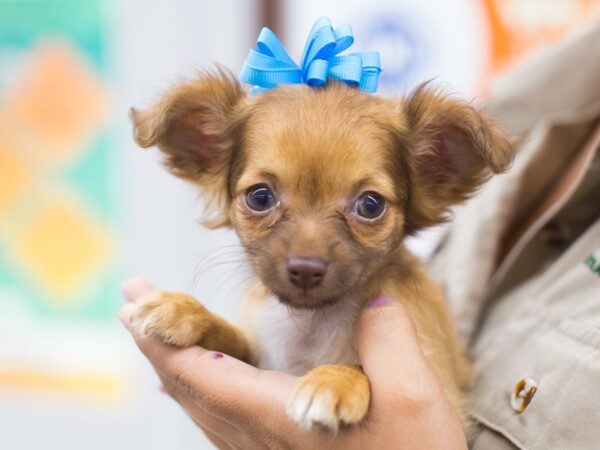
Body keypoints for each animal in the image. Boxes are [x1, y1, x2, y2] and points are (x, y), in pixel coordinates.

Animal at [129, 68, 512, 430]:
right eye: (260, 197)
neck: (312, 324)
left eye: (370, 205)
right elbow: (234, 339)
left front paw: (333, 381)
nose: (306, 267)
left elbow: (358, 365)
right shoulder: (261, 353)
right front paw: (186, 311)